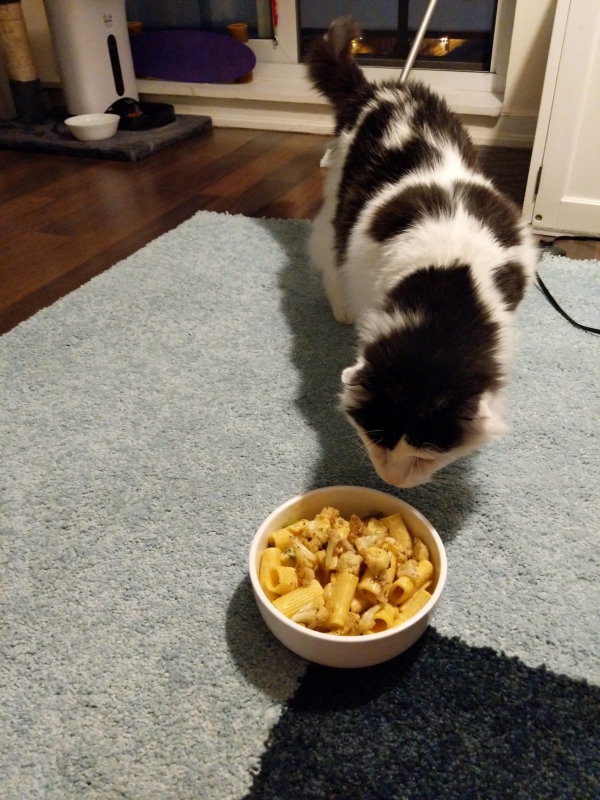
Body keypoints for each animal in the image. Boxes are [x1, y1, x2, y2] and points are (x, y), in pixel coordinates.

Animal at [308, 18, 536, 490]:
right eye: (376, 441)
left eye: (426, 456)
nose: (393, 482)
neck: (448, 286)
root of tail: (379, 88)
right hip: (338, 204)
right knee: (325, 253)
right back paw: (340, 306)